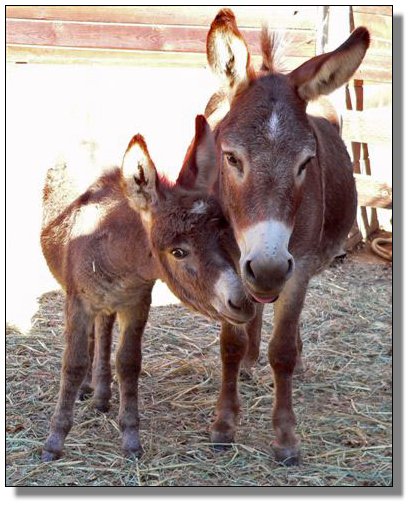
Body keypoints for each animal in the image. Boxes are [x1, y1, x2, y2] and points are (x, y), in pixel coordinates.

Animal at [41, 117, 254, 462]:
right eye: (178, 252)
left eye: (225, 236)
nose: (244, 302)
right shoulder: (77, 302)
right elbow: (72, 364)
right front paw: (55, 440)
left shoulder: (137, 301)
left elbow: (128, 363)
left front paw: (130, 438)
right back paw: (89, 388)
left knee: (104, 329)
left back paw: (101, 394)